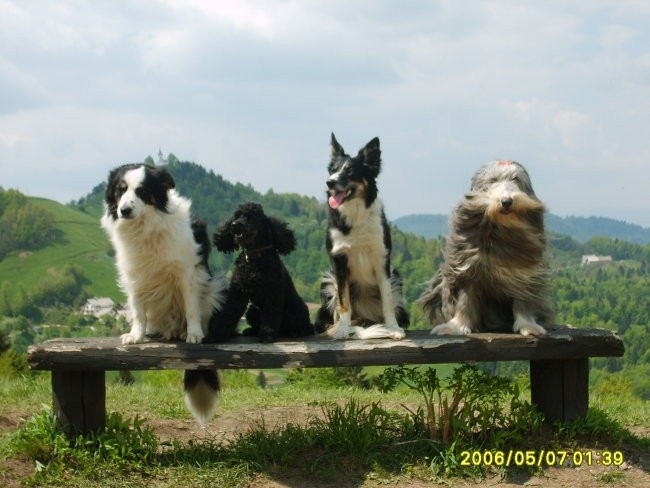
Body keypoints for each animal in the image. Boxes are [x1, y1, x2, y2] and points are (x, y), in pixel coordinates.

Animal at [99, 163, 225, 424]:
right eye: (120, 190)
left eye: (142, 191)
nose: (124, 210)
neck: (145, 225)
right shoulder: (134, 276)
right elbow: (137, 311)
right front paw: (136, 336)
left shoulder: (187, 273)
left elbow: (191, 307)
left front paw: (194, 334)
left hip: (213, 289)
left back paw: (186, 332)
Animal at [312, 133, 408, 340]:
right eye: (332, 170)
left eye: (350, 171)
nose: (330, 182)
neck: (354, 212)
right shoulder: (339, 261)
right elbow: (344, 302)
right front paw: (342, 330)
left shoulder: (382, 258)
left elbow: (387, 300)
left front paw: (393, 329)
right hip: (327, 280)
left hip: (396, 275)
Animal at [416, 160, 552, 336]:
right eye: (493, 180)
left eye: (515, 179)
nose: (506, 201)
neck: (499, 228)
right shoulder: (467, 266)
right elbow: (465, 300)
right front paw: (455, 326)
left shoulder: (524, 270)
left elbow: (523, 300)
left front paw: (528, 325)